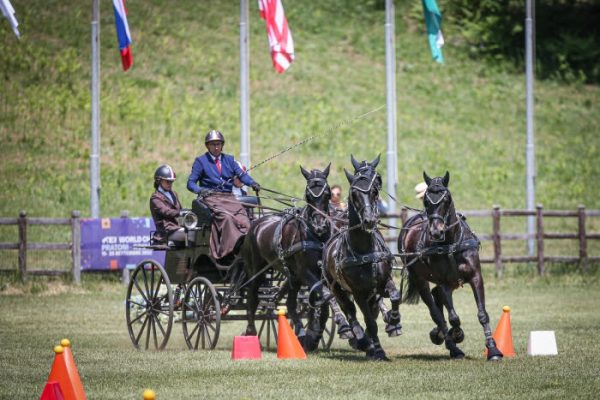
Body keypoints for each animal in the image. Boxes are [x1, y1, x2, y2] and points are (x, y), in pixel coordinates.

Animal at [241, 163, 340, 350]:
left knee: (291, 304)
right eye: (308, 195)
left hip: (292, 276)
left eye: (328, 193)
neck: (316, 237)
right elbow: (323, 295)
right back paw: (250, 332)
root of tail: (257, 221)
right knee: (252, 297)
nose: (320, 226)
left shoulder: (318, 274)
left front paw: (313, 334)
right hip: (256, 270)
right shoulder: (305, 273)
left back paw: (300, 333)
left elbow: (318, 301)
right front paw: (315, 333)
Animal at [322, 155, 400, 360]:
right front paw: (377, 350)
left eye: (374, 190)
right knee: (348, 311)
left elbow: (395, 296)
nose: (369, 220)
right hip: (336, 287)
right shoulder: (359, 292)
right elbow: (368, 320)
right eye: (354, 193)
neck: (364, 250)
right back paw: (361, 340)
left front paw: (394, 320)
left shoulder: (383, 282)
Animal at [400, 171, 504, 360]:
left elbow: (482, 314)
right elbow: (453, 317)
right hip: (420, 279)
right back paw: (450, 344)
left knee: (437, 299)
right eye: (426, 200)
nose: (436, 232)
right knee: (435, 311)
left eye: (446, 199)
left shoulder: (475, 277)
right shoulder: (444, 283)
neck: (451, 243)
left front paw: (493, 349)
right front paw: (456, 335)